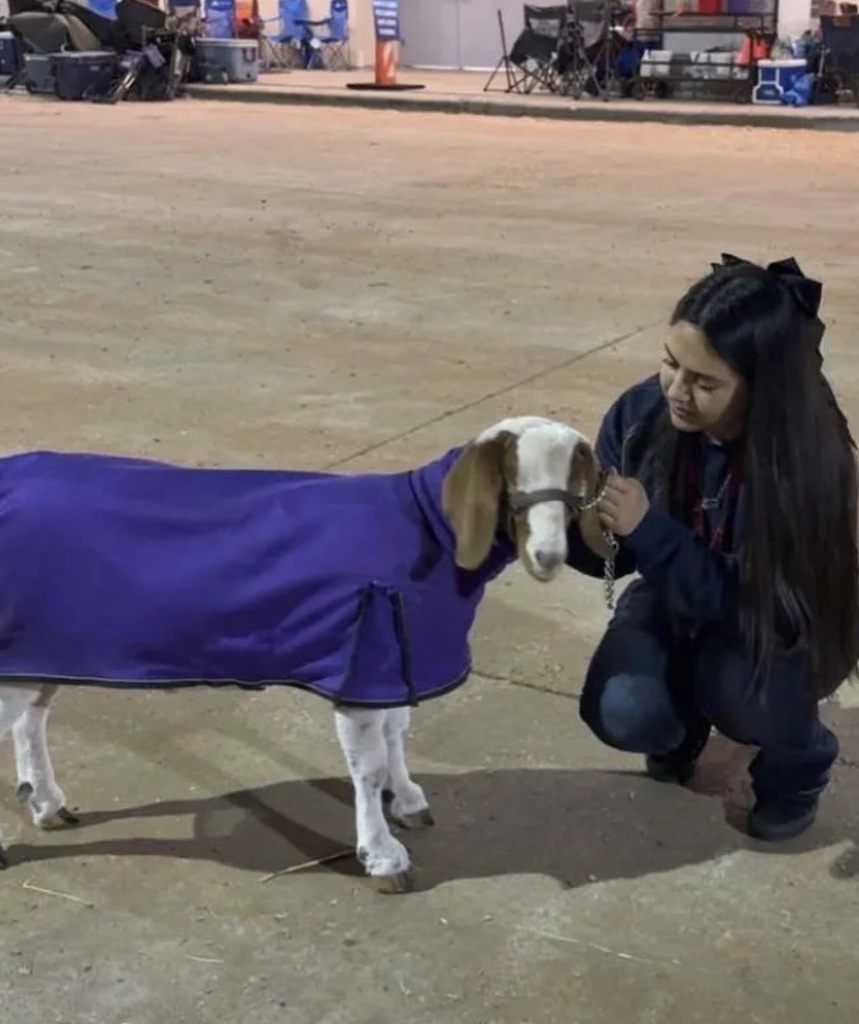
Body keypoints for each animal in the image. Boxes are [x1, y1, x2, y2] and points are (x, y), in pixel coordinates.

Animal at [0, 416, 610, 892]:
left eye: (574, 478)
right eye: (511, 474)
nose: (548, 555)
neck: (426, 529)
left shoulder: (395, 658)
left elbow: (398, 733)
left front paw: (408, 800)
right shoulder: (365, 660)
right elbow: (367, 766)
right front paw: (382, 856)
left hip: (42, 647)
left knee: (29, 721)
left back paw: (48, 805)